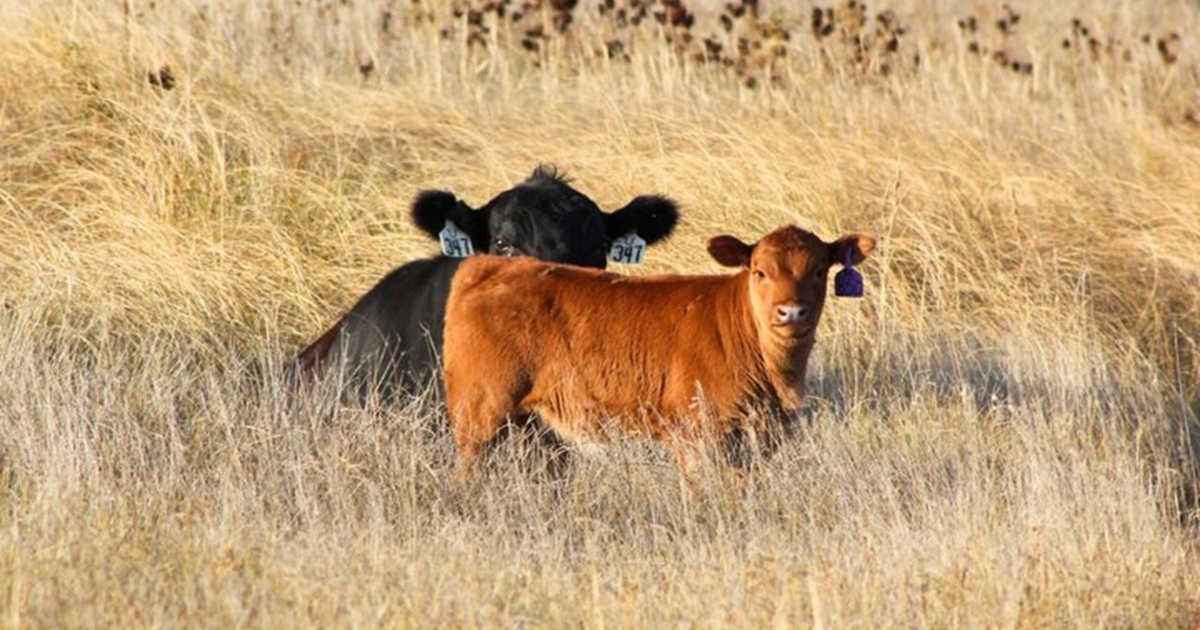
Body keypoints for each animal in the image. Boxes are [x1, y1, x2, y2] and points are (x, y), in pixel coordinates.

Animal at [443, 224, 875, 476]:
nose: (792, 312)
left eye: (819, 271)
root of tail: (491, 266)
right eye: (760, 272)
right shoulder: (697, 433)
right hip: (479, 410)